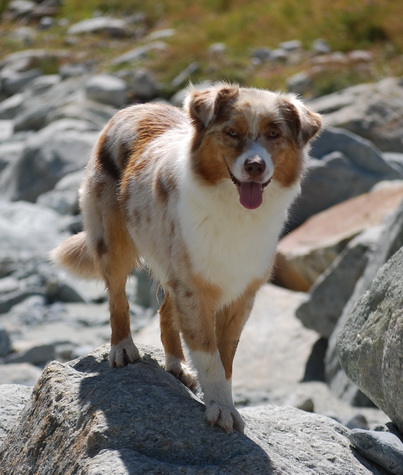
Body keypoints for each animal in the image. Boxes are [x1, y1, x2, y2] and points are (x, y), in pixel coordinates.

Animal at [51, 83, 322, 434]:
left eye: (274, 134)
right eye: (231, 132)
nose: (255, 166)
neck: (235, 212)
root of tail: (135, 106)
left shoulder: (240, 295)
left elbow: (226, 358)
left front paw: (224, 403)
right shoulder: (195, 289)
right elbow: (209, 356)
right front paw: (221, 410)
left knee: (166, 313)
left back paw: (176, 364)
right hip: (113, 241)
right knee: (118, 298)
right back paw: (123, 348)